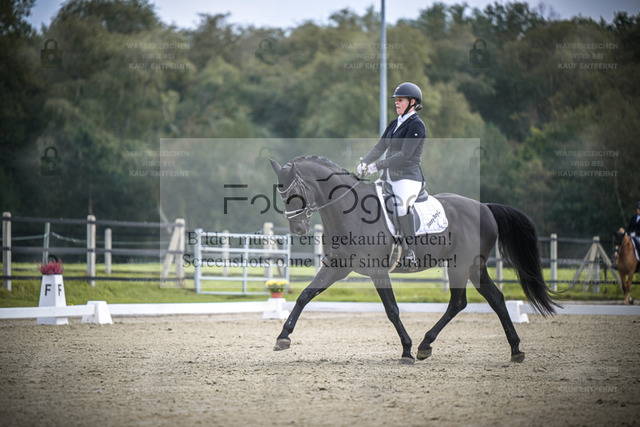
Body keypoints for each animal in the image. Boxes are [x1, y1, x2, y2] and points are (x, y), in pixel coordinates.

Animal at [269, 156, 559, 364]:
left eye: (294, 192)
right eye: (281, 195)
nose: (298, 229)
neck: (347, 212)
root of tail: (485, 208)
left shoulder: (377, 271)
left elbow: (392, 310)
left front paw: (406, 351)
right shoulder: (336, 268)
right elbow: (304, 296)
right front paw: (283, 337)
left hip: (461, 266)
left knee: (459, 302)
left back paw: (423, 346)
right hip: (474, 268)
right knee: (494, 299)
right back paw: (514, 350)